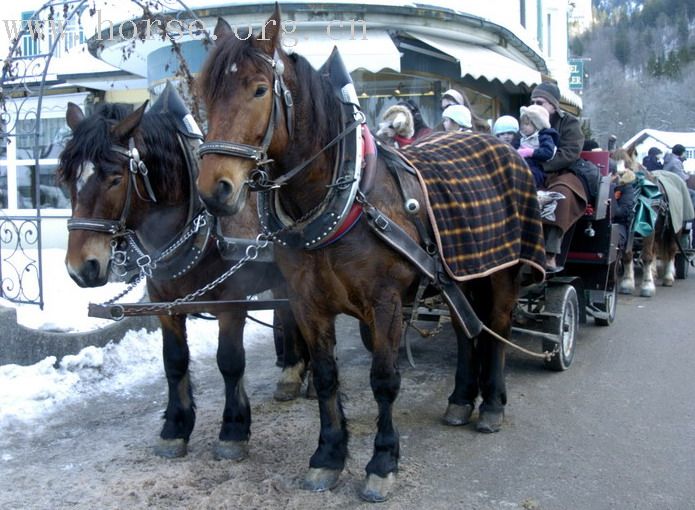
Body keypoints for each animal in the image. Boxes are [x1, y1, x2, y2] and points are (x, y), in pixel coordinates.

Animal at [58, 90, 308, 462]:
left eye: (115, 178)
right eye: (65, 180)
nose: (81, 268)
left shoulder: (231, 303)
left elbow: (230, 361)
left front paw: (233, 430)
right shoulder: (165, 304)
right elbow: (174, 362)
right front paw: (175, 428)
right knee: (289, 314)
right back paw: (292, 374)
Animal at [193, 5, 548, 502]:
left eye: (259, 89)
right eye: (205, 92)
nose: (214, 190)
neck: (345, 201)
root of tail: (496, 144)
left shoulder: (385, 304)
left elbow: (384, 381)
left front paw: (382, 462)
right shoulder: (308, 303)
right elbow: (326, 375)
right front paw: (327, 456)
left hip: (503, 269)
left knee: (495, 328)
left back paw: (492, 405)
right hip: (458, 275)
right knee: (466, 332)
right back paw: (461, 400)